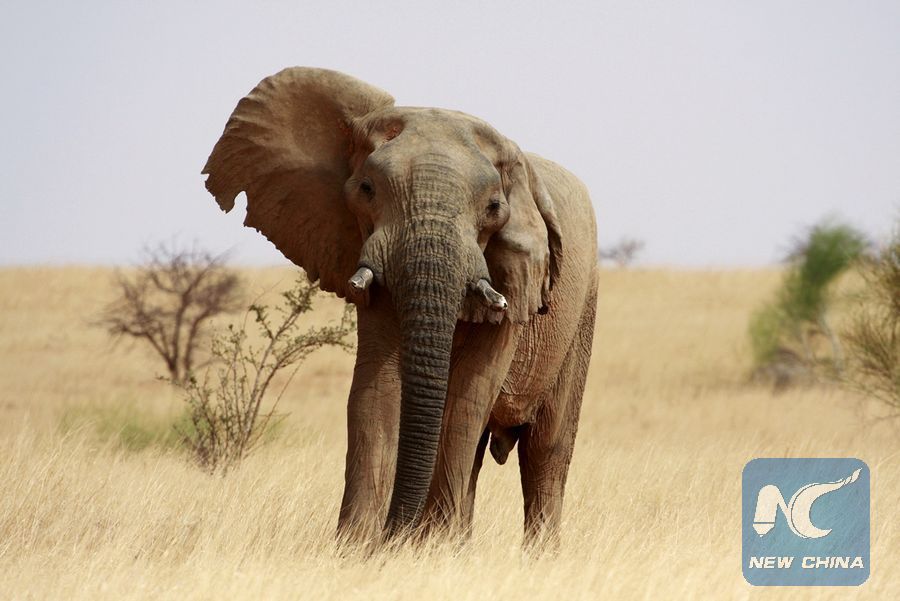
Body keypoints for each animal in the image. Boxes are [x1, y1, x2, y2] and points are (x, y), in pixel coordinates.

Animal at [203, 65, 596, 544]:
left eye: (494, 208)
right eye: (366, 189)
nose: (396, 533)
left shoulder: (517, 279)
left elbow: (468, 397)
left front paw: (429, 548)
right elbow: (376, 388)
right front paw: (358, 547)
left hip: (582, 314)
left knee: (546, 451)